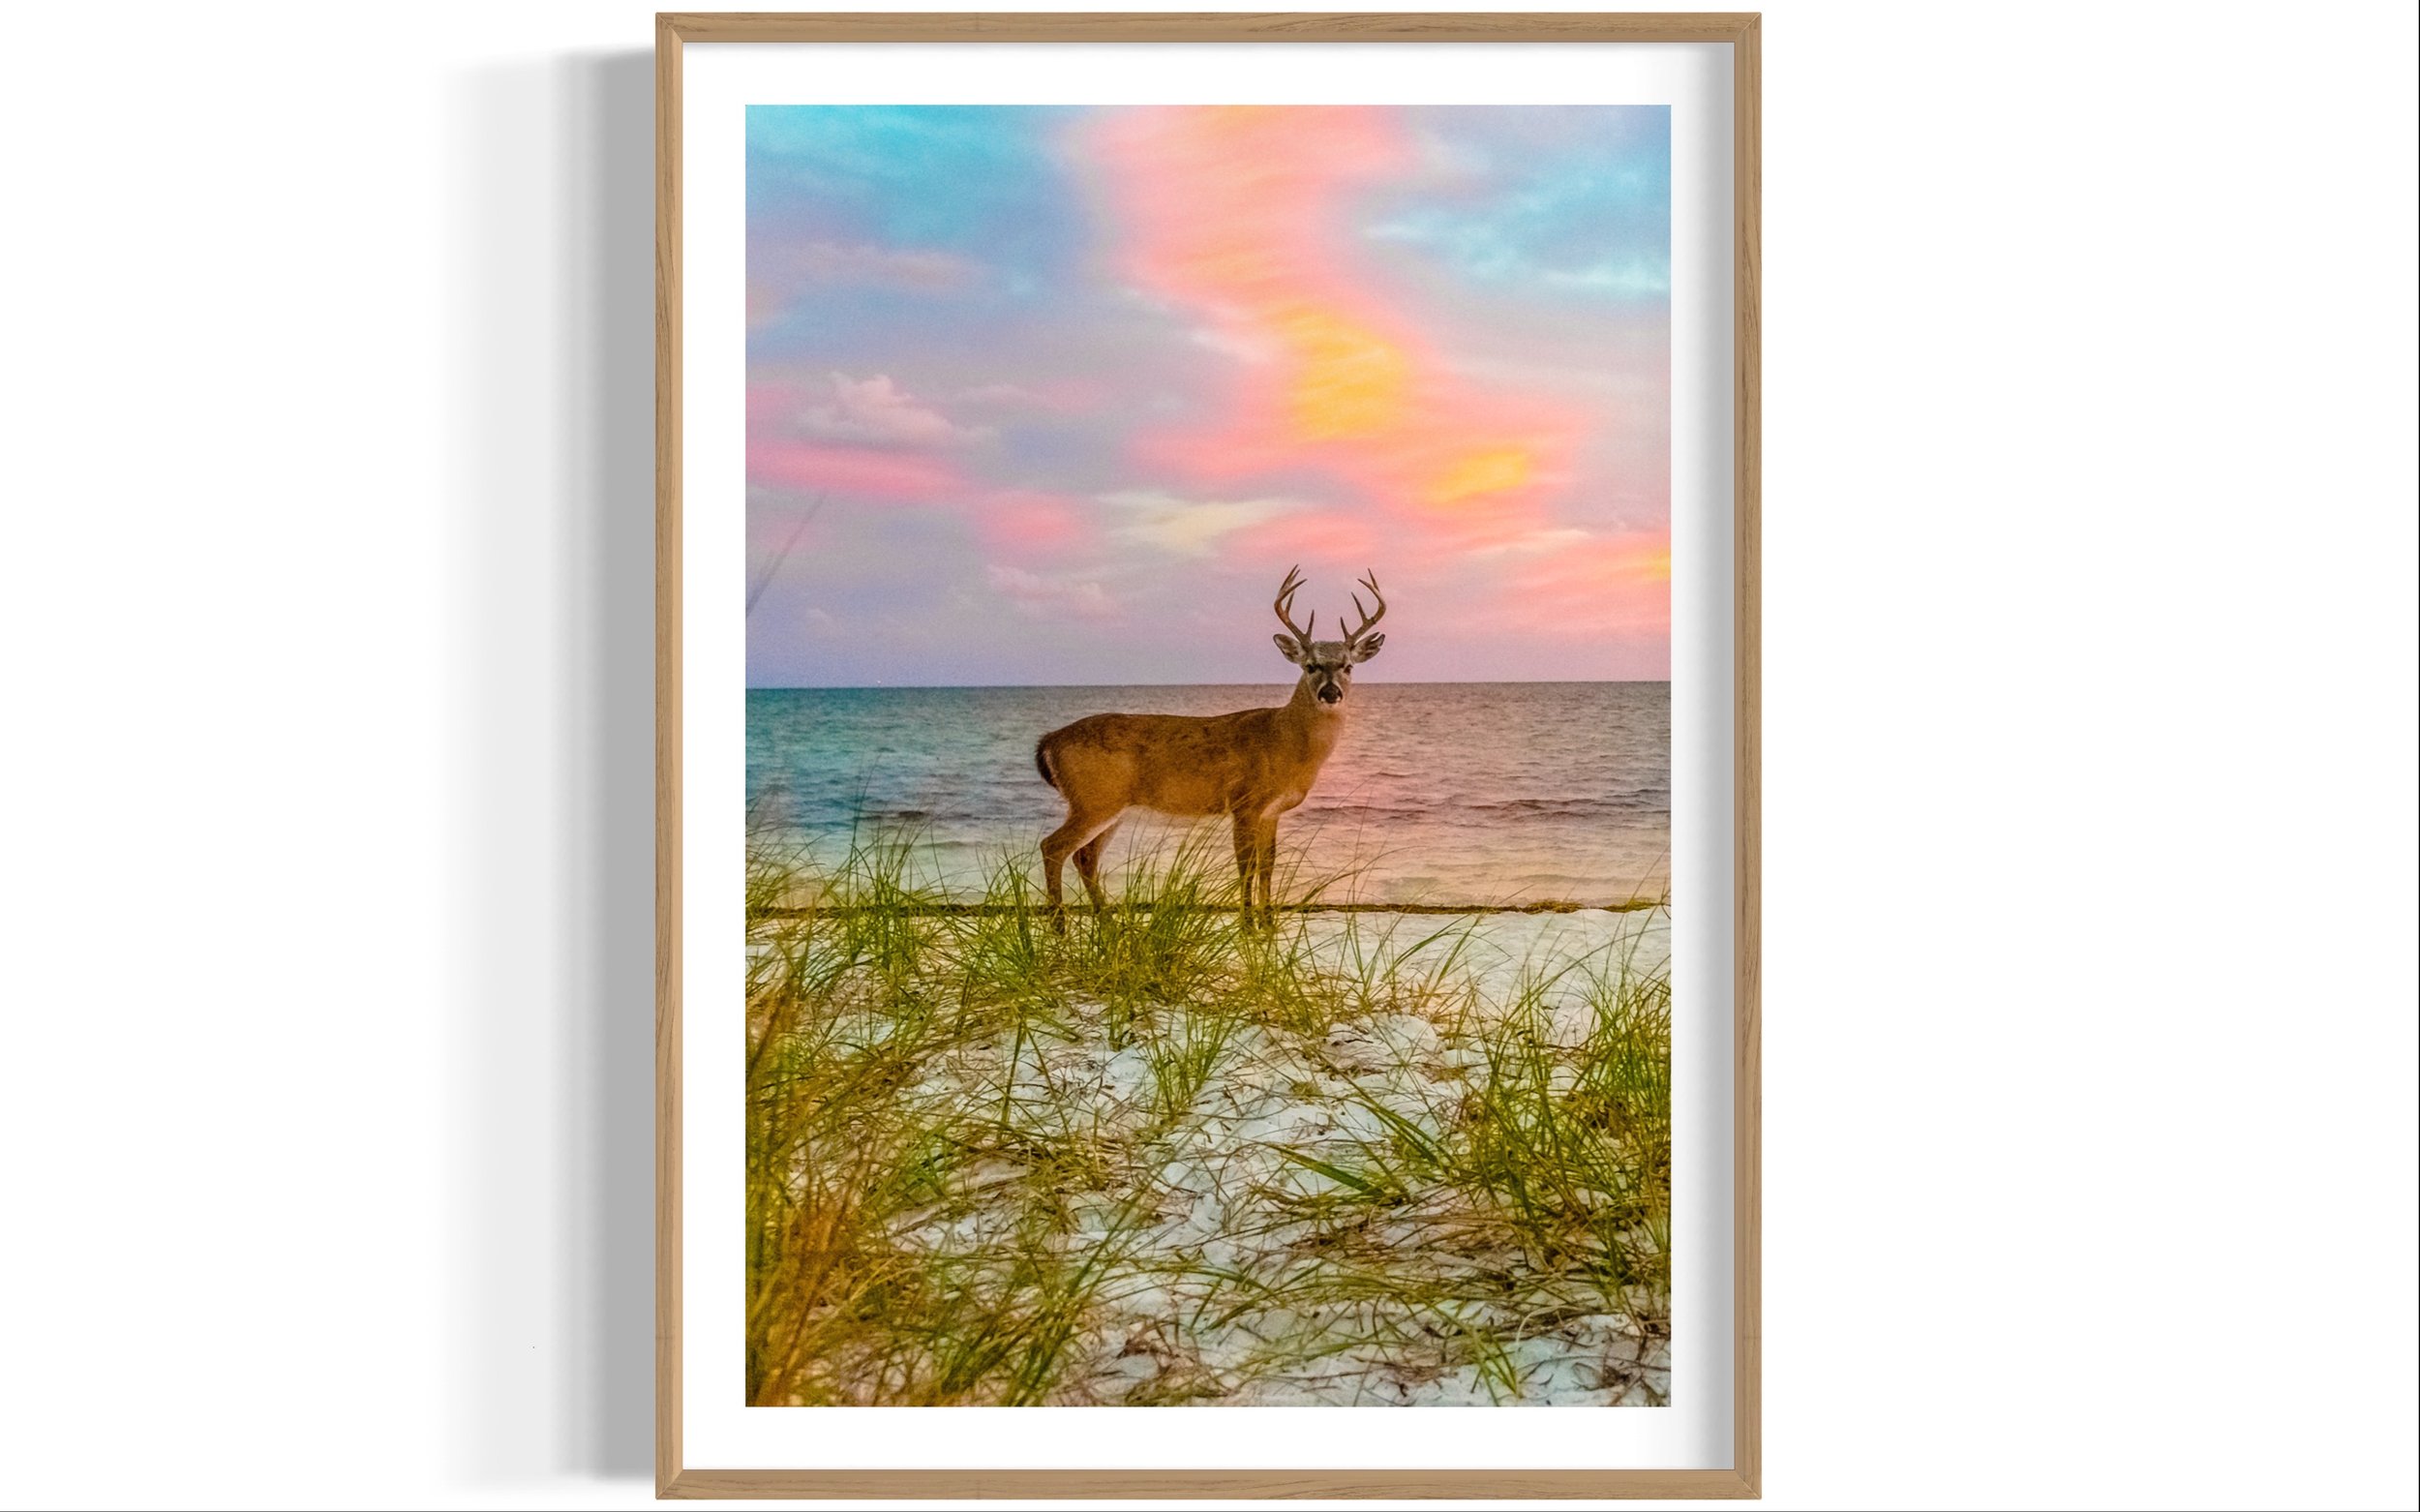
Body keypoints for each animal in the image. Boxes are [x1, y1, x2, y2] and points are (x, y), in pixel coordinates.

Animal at [1032, 567, 1386, 924]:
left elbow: (1268, 866)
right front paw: (1248, 926)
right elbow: (1246, 867)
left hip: (1110, 806)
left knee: (1084, 856)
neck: (1284, 740)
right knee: (1053, 847)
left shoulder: (1272, 811)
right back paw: (1060, 926)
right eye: (1310, 666)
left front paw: (1267, 924)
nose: (1330, 693)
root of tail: (1049, 740)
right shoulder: (1244, 802)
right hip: (1094, 800)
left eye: (1348, 666)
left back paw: (1108, 924)